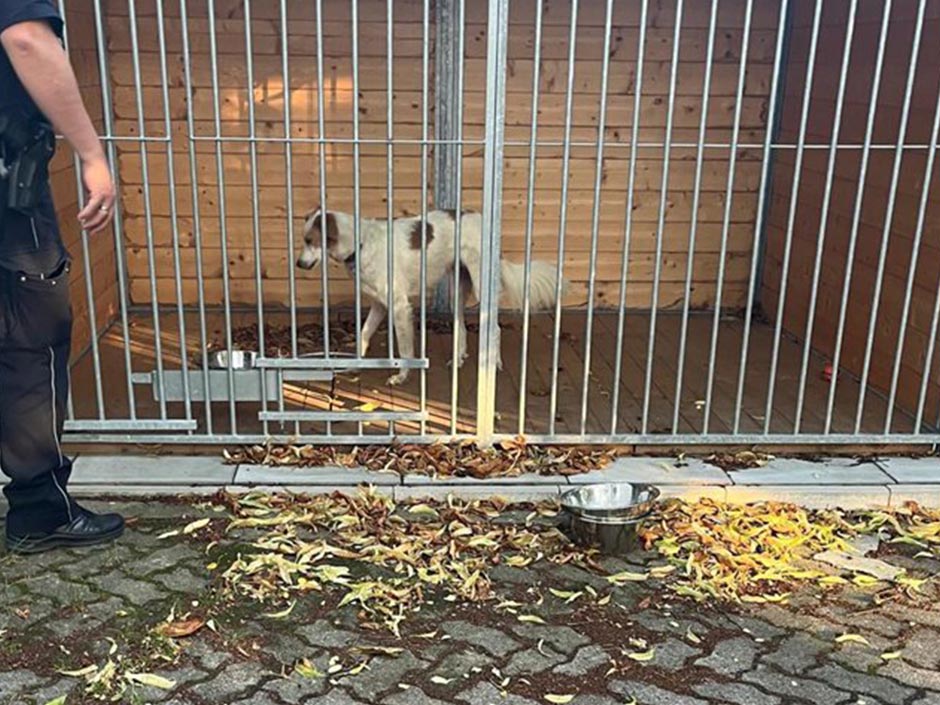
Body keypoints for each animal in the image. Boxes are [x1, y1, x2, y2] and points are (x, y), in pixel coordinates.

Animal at [298, 208, 560, 384]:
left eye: (310, 240)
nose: (299, 264)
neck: (360, 243)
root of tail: (482, 218)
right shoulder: (379, 305)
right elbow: (363, 333)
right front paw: (356, 363)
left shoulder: (399, 306)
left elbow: (404, 348)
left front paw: (401, 376)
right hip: (456, 291)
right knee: (462, 327)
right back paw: (458, 359)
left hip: (481, 286)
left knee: (494, 329)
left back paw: (493, 364)